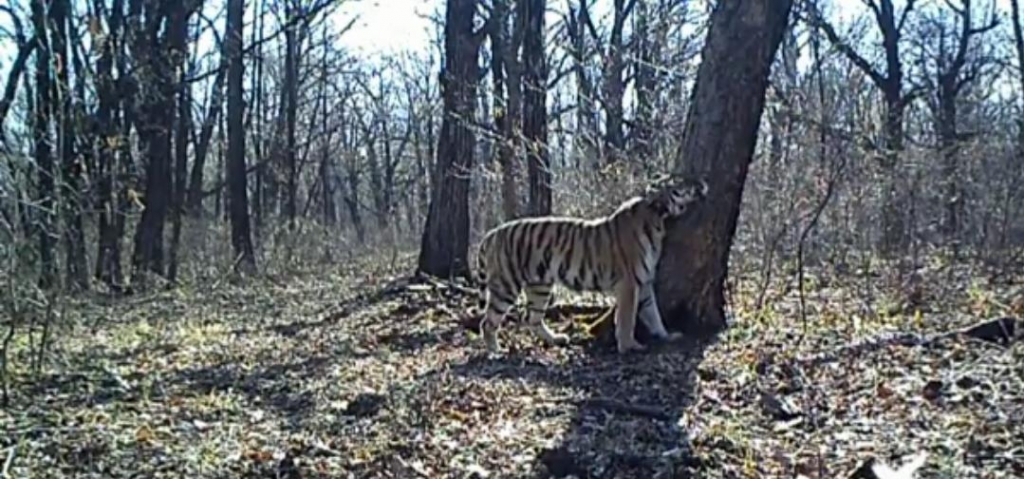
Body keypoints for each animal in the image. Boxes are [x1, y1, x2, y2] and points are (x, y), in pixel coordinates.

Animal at [473, 176, 708, 352]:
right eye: (680, 181)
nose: (701, 181)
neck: (657, 217)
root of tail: (491, 234)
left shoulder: (644, 282)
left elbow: (653, 313)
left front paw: (666, 335)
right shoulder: (629, 283)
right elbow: (627, 318)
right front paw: (629, 346)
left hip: (539, 285)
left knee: (531, 317)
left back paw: (556, 339)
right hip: (506, 285)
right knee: (488, 321)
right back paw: (495, 351)